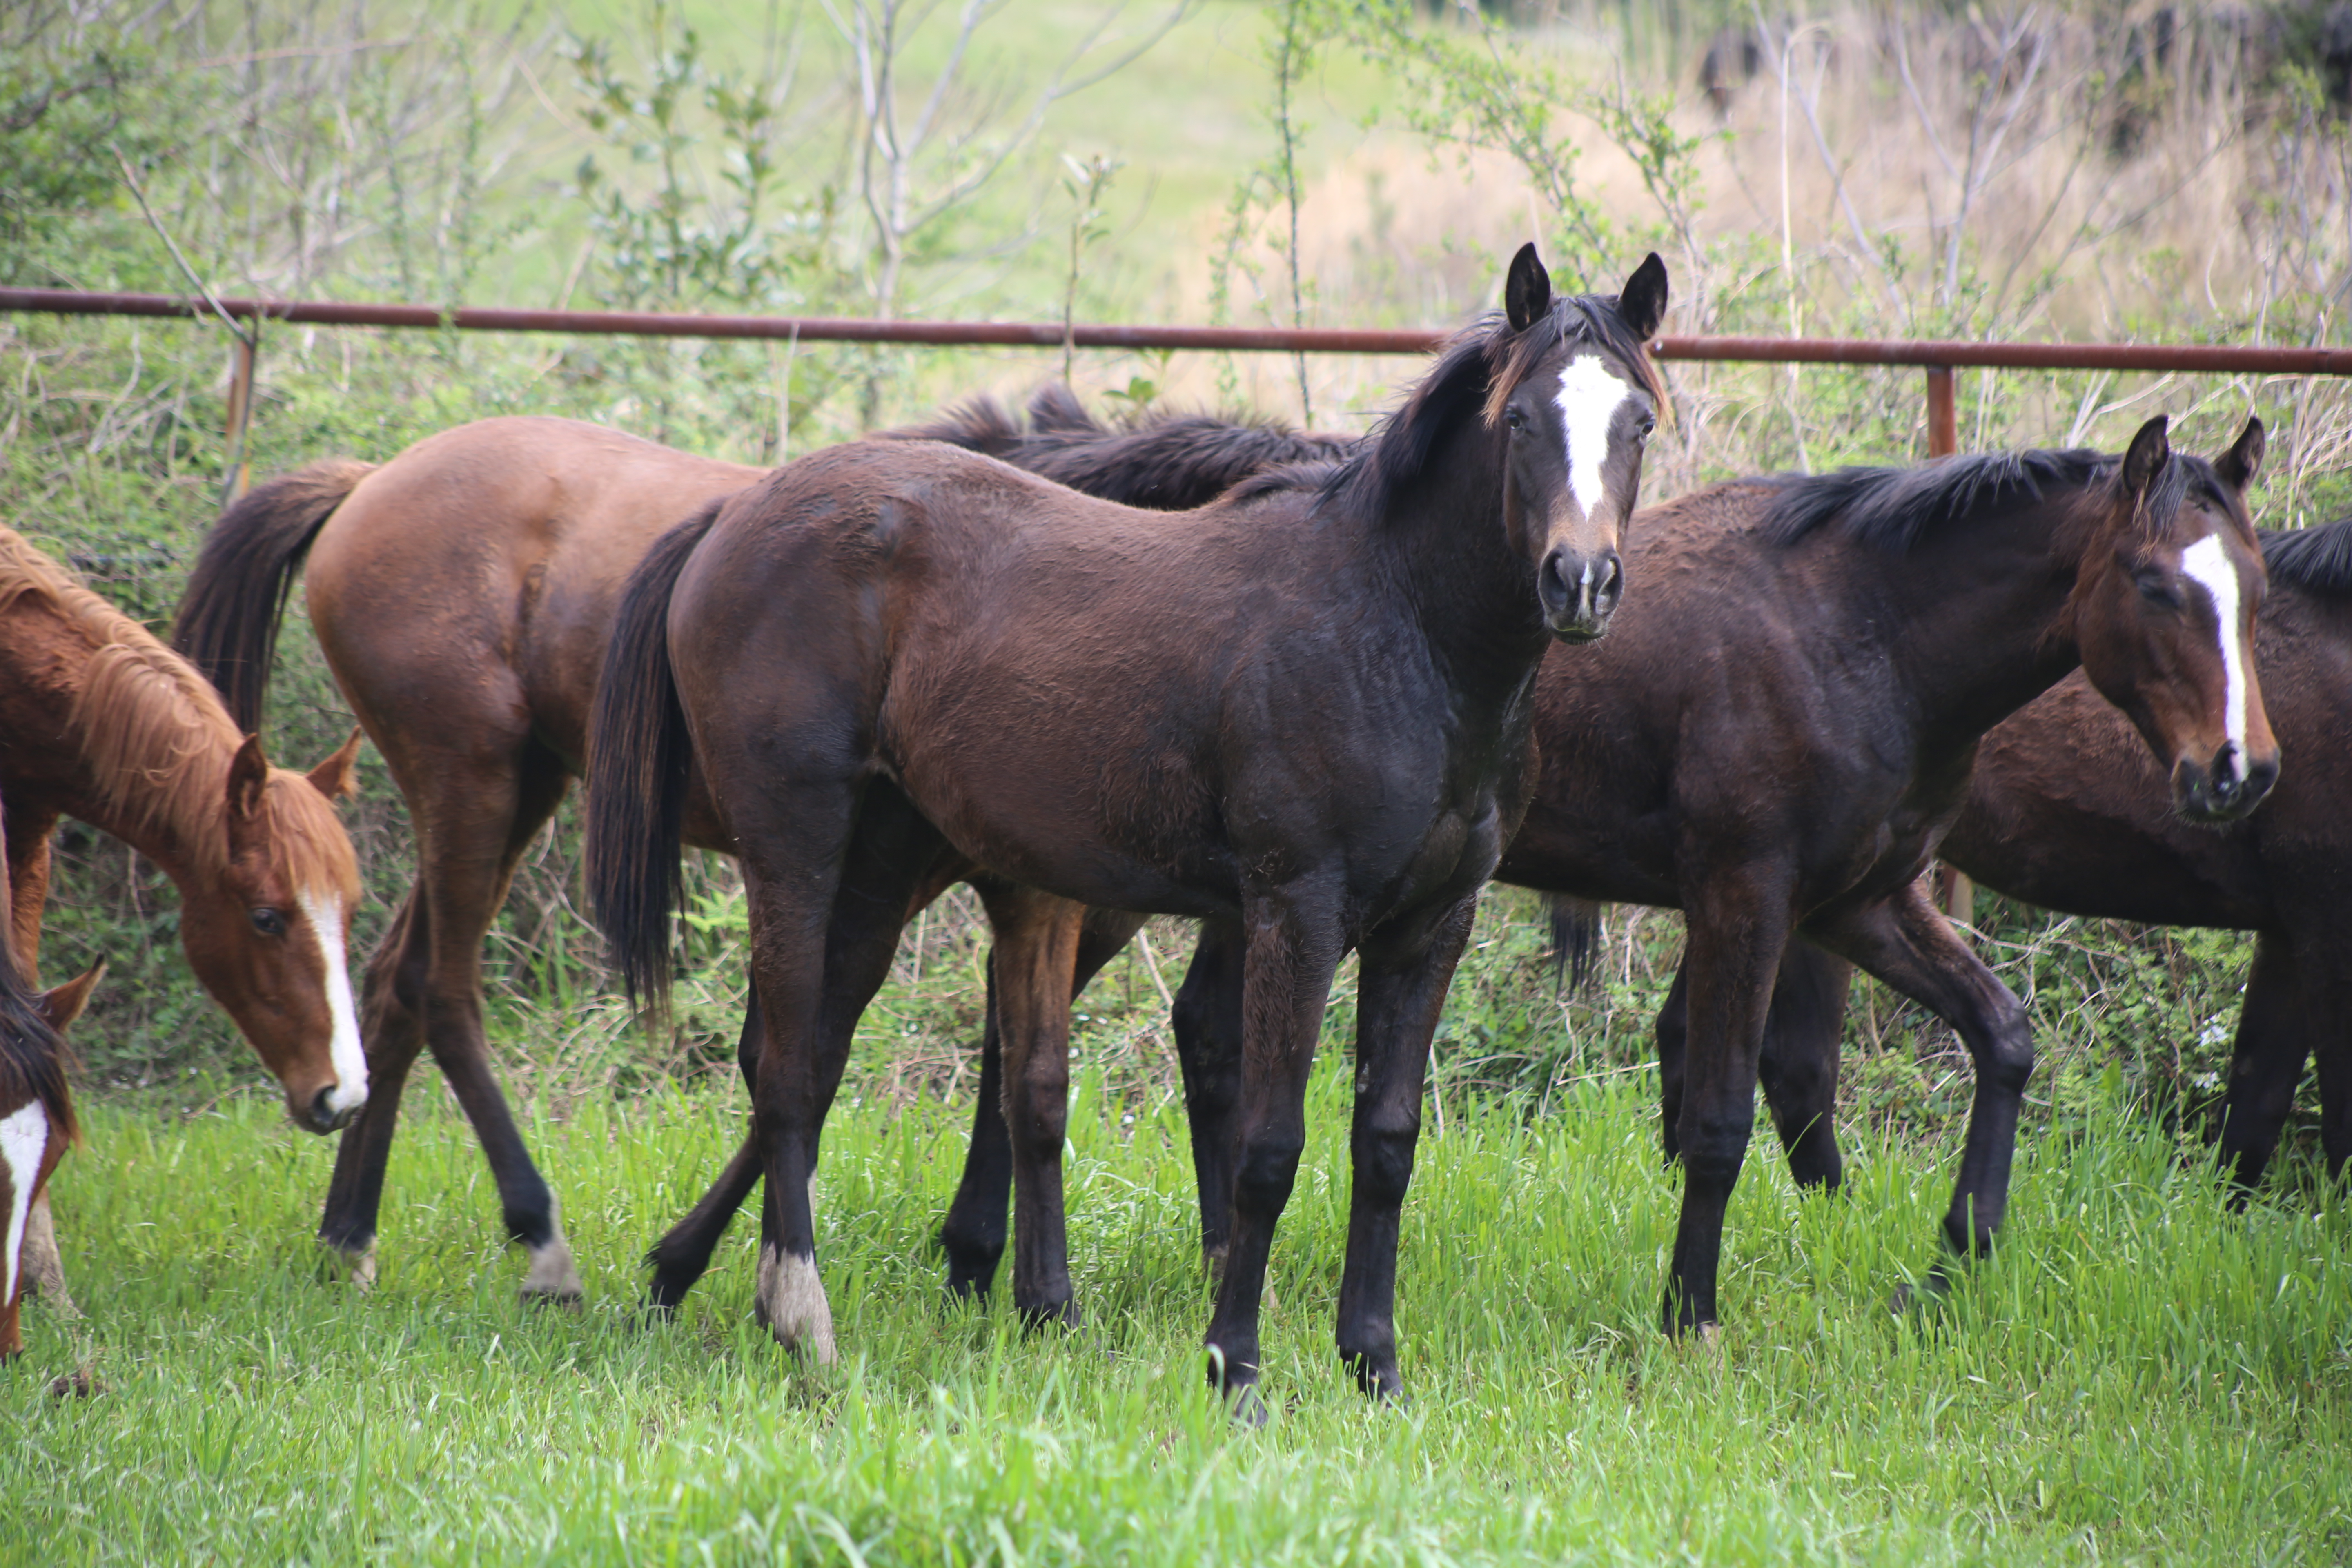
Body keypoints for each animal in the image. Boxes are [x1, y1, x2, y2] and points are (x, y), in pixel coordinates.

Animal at [588, 248, 1675, 1410]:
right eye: (1517, 418)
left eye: (1639, 422)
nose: (1581, 582)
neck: (1395, 630)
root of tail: (735, 512)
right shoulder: (1295, 912)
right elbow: (1266, 1147)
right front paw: (1235, 1370)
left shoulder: (1431, 926)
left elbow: (1384, 1144)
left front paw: (1372, 1366)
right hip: (794, 846)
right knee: (788, 1066)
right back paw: (800, 1315)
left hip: (881, 863)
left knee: (807, 1058)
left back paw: (682, 1272)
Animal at [1656, 510, 2352, 1213]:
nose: (2241, 773)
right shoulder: (2322, 917)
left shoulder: (2291, 930)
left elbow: (2254, 1109)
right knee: (1798, 1068)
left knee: (1689, 1036)